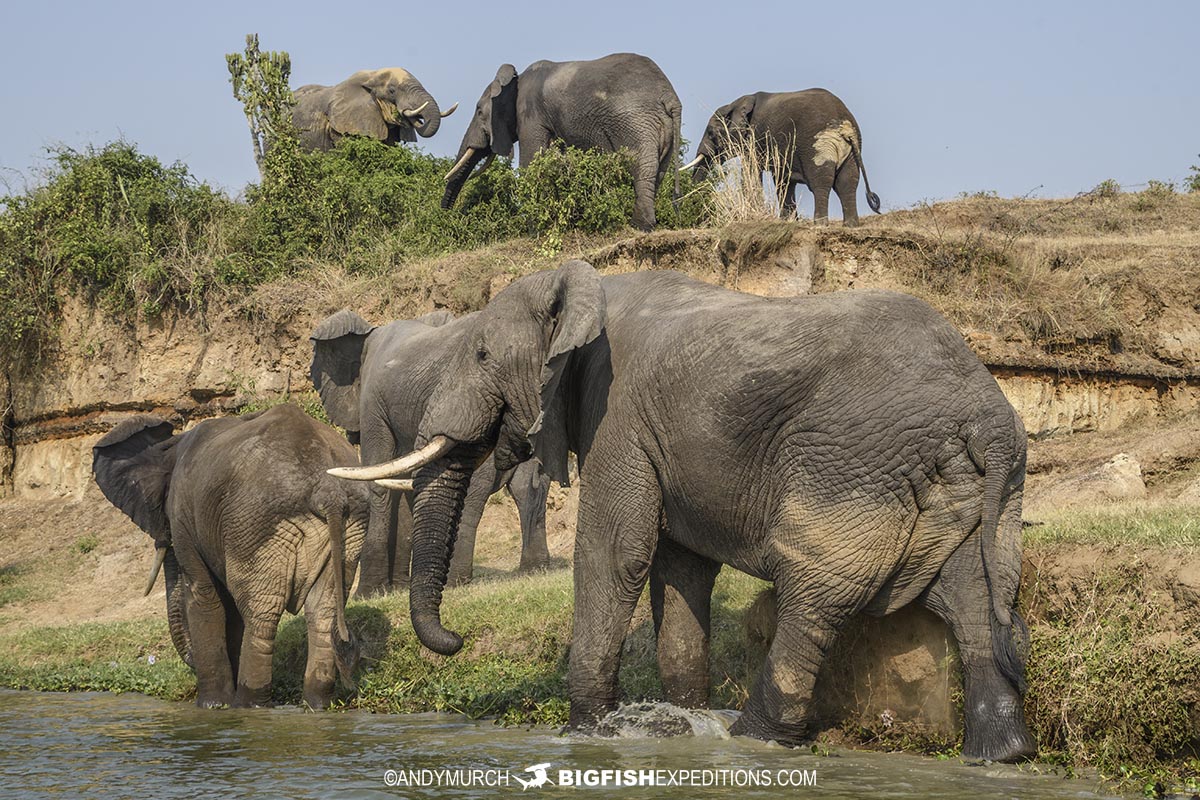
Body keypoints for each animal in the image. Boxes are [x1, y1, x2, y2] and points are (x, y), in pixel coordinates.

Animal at [92, 404, 368, 710]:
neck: (170, 446)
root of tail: (328, 491)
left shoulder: (184, 514)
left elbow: (204, 595)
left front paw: (212, 706)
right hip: (349, 526)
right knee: (322, 610)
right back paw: (317, 705)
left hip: (255, 523)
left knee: (261, 613)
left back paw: (249, 705)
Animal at [310, 308, 551, 598]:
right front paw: (397, 588)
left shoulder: (373, 404)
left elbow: (379, 483)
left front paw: (369, 594)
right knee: (528, 488)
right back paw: (533, 569)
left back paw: (456, 581)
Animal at [440, 53, 682, 231]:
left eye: (479, 111)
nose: (448, 218)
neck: (515, 82)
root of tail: (669, 96)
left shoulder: (531, 116)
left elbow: (530, 164)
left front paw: (533, 228)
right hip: (661, 128)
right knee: (657, 171)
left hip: (634, 122)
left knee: (641, 167)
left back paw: (639, 226)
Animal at [685, 89, 881, 226]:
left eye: (711, 133)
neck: (737, 102)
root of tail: (845, 125)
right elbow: (784, 180)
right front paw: (788, 221)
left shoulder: (755, 139)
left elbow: (752, 173)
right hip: (852, 151)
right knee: (847, 182)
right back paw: (851, 226)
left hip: (818, 144)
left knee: (820, 182)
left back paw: (820, 224)